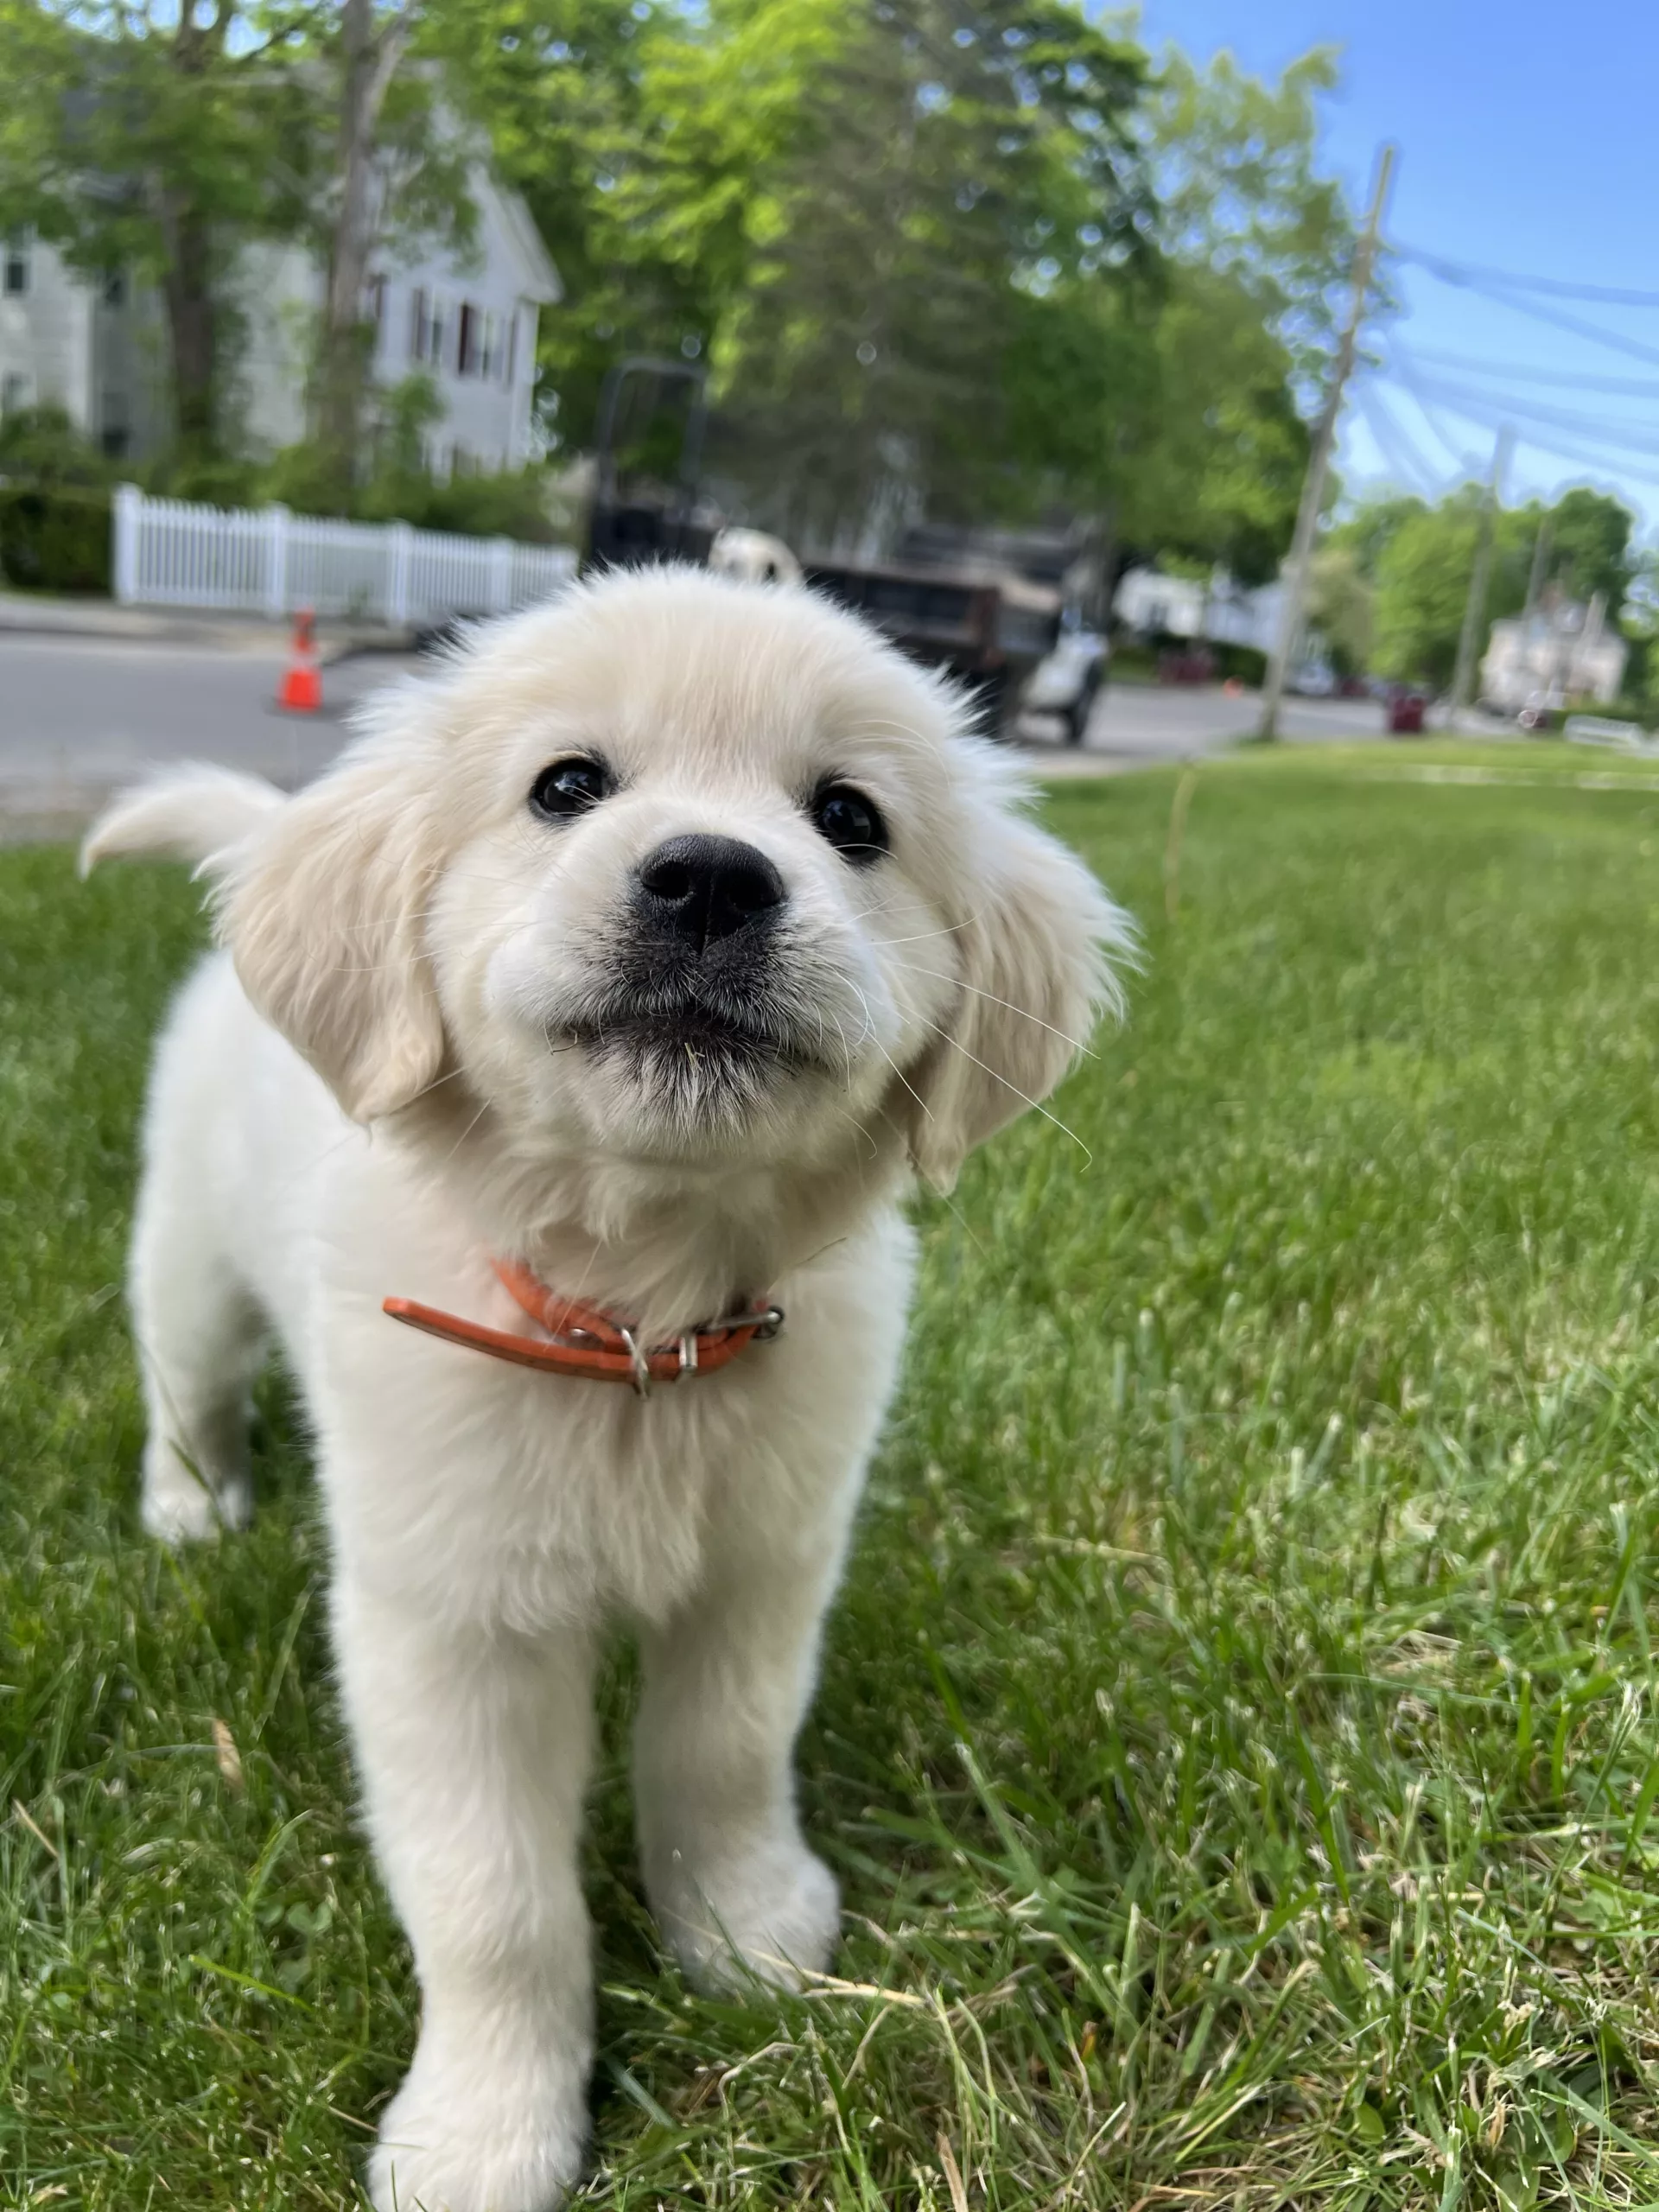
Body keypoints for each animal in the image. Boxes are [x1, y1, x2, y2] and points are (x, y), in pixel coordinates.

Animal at [87, 570, 1132, 2212]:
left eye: (849, 817)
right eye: (566, 787)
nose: (710, 880)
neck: (636, 1326)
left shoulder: (763, 1570)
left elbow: (721, 1757)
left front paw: (746, 1936)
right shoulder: (447, 1633)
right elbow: (495, 1906)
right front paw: (483, 2133)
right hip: (188, 1255)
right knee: (184, 1384)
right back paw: (191, 1512)